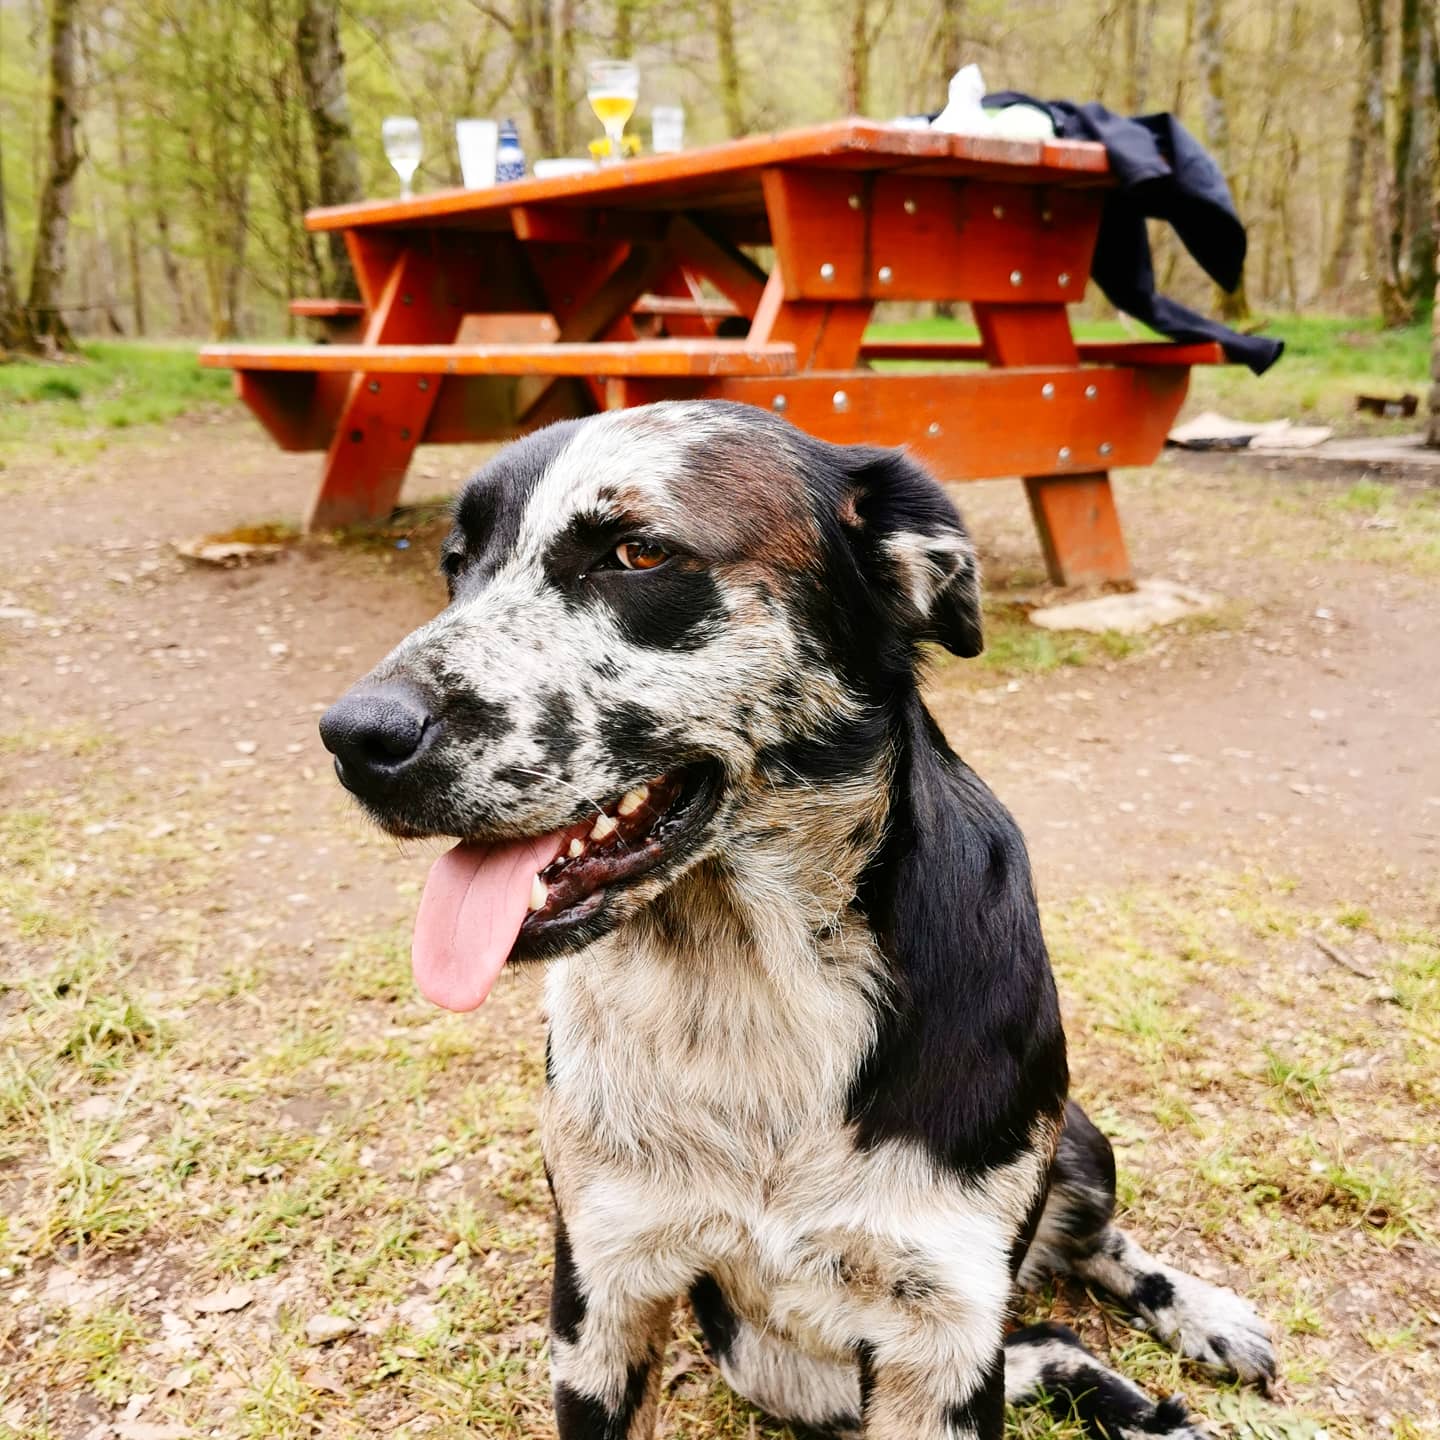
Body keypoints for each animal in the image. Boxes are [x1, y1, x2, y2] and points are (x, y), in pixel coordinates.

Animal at [318, 403, 1272, 1440]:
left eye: (637, 552)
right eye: (457, 565)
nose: (352, 737)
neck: (748, 980)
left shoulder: (944, 1335)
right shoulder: (602, 1293)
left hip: (1075, 1154)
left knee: (1093, 1257)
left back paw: (1201, 1322)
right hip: (786, 1369)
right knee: (1054, 1339)